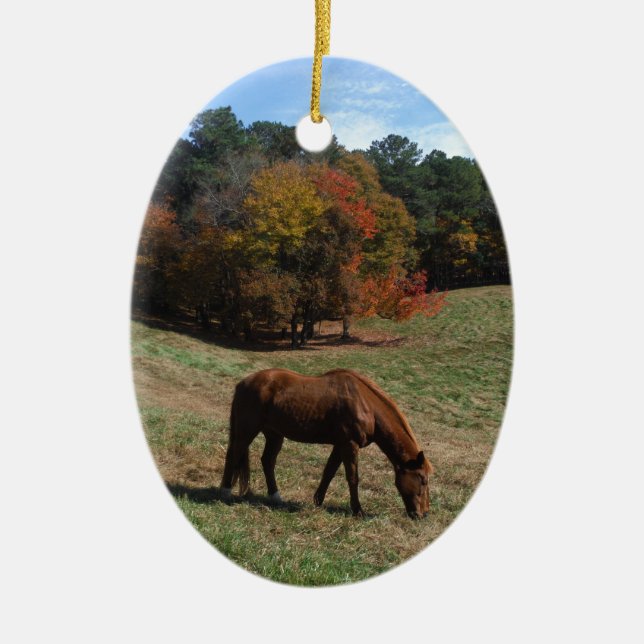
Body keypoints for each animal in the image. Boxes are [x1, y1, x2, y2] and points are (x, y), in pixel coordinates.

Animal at [220, 368, 433, 519]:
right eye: (422, 479)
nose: (423, 514)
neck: (365, 405)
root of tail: (243, 383)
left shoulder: (340, 445)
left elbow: (329, 473)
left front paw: (318, 501)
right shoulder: (349, 445)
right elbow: (353, 478)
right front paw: (358, 510)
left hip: (274, 435)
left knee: (267, 461)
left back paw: (275, 497)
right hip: (247, 431)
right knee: (234, 454)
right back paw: (225, 492)